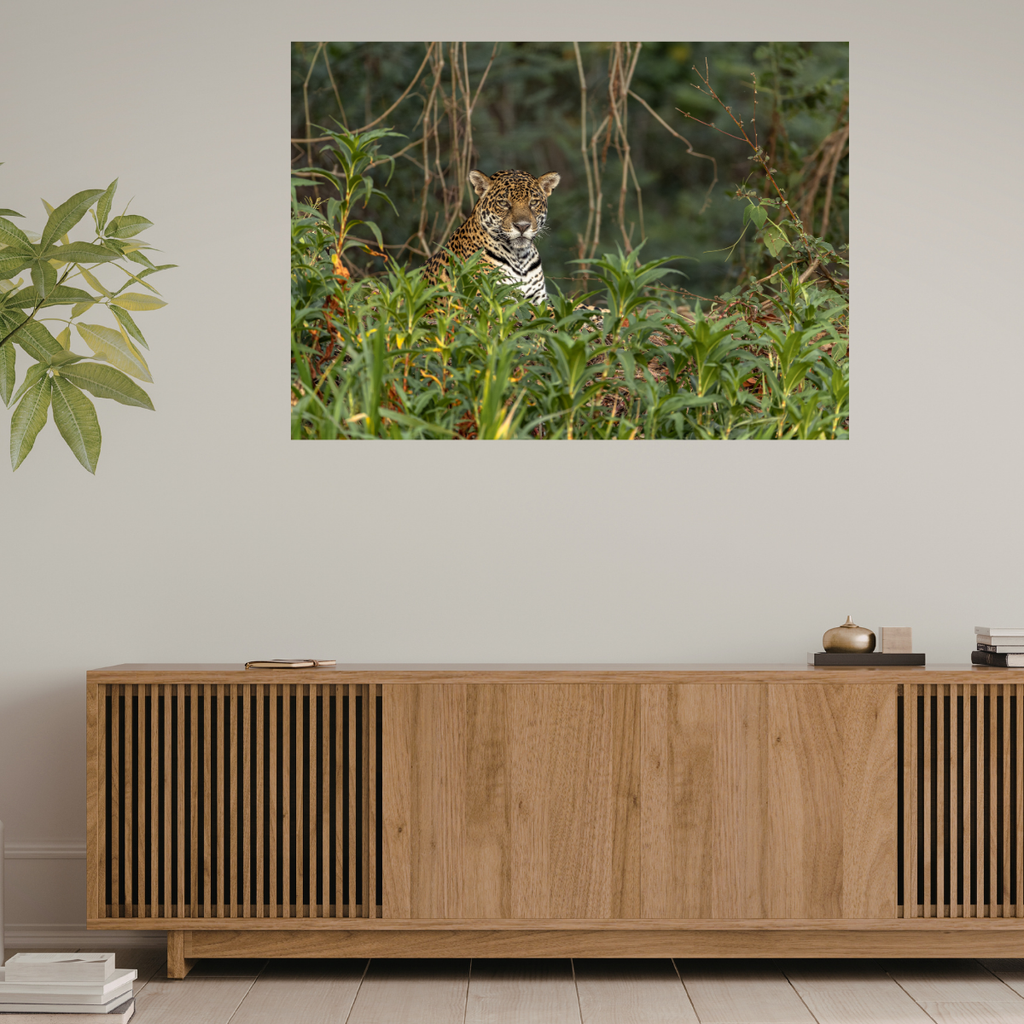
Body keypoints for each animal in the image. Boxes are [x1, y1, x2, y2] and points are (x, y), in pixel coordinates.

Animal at [425, 168, 561, 304]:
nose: (522, 226)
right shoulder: (487, 297)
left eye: (533, 202)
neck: (520, 258)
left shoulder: (539, 299)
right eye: (503, 203)